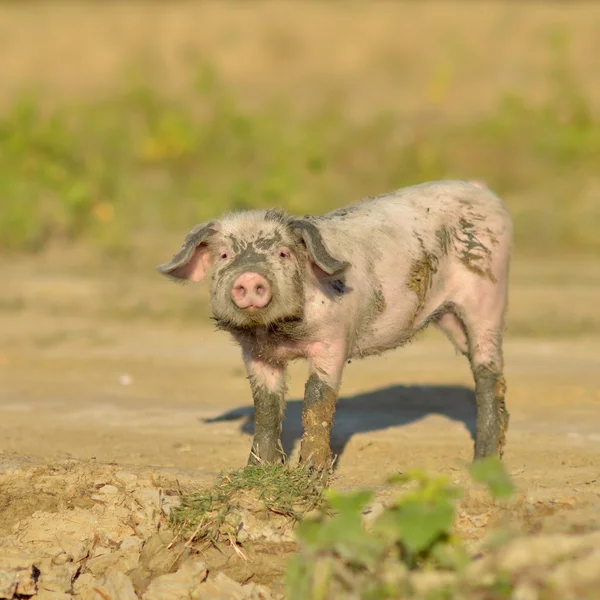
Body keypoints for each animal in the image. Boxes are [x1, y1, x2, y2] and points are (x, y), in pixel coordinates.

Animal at [158, 180, 510, 472]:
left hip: (488, 295)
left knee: (488, 370)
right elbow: (266, 405)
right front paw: (256, 473)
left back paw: (483, 464)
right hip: (448, 316)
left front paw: (310, 476)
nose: (249, 277)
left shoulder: (334, 340)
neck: (279, 335)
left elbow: (317, 399)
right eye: (224, 256)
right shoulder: (255, 353)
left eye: (283, 253)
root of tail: (482, 190)